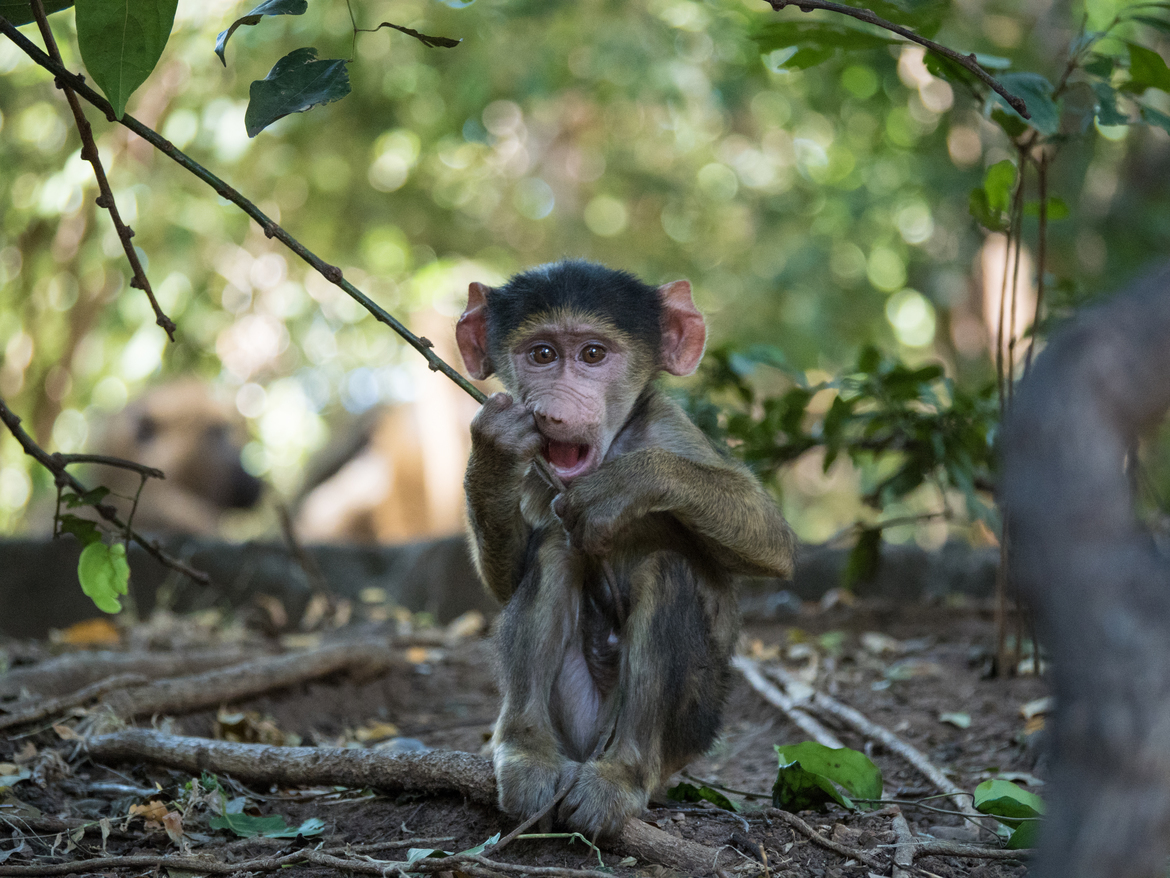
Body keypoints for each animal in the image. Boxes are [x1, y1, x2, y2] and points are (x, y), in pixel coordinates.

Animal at [456, 259, 796, 838]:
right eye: (542, 354)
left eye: (593, 354)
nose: (555, 410)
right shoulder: (540, 473)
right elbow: (508, 578)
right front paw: (495, 448)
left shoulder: (668, 428)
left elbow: (773, 544)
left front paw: (626, 486)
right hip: (577, 722)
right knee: (555, 554)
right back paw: (527, 752)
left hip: (691, 727)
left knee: (668, 570)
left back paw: (622, 774)